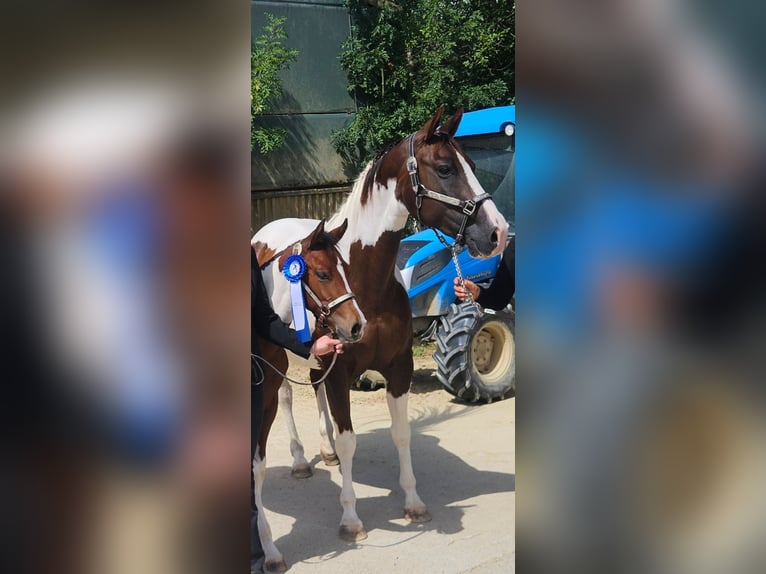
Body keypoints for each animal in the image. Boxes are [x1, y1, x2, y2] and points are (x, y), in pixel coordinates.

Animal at [252, 105, 508, 570]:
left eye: (473, 165)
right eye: (445, 168)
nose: (497, 232)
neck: (364, 279)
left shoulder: (397, 366)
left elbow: (401, 433)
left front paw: (413, 503)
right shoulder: (341, 372)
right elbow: (351, 439)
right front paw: (351, 518)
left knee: (313, 392)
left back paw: (325, 452)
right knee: (287, 399)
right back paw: (300, 460)